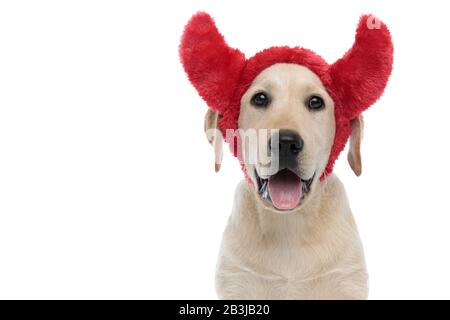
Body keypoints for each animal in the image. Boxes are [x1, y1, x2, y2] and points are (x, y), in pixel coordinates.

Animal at [181, 11, 392, 298]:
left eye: (315, 102)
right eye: (260, 98)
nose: (286, 143)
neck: (288, 225)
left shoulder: (346, 280)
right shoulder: (236, 281)